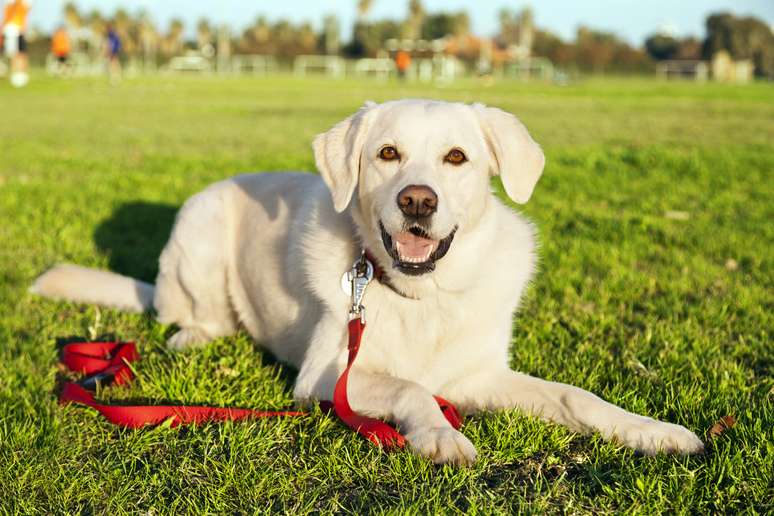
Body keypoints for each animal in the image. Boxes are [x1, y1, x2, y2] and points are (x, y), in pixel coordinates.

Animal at [34, 100, 704, 464]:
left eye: (456, 158)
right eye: (387, 153)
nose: (417, 200)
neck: (423, 296)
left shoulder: (481, 376)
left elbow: (575, 397)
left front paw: (651, 432)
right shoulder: (328, 377)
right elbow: (411, 387)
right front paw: (439, 434)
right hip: (198, 229)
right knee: (186, 312)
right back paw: (193, 335)